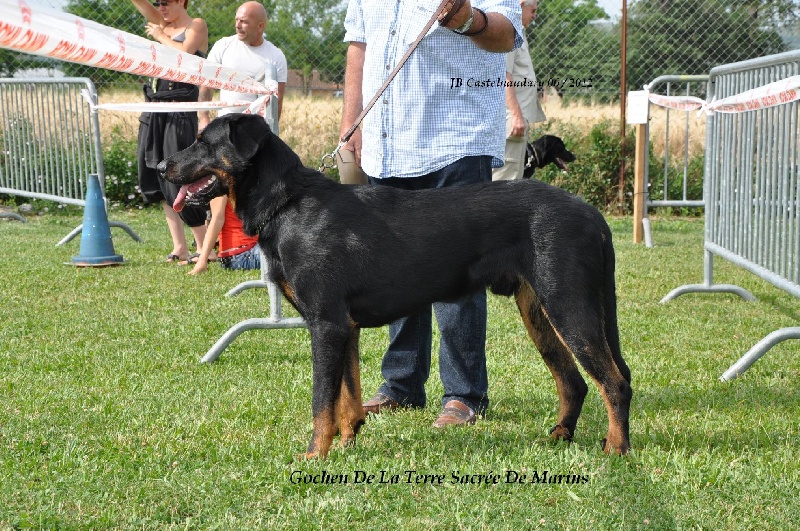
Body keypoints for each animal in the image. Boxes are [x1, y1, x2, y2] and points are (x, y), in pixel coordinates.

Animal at [158, 114, 632, 460]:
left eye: (203, 141)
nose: (161, 168)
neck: (288, 203)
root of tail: (593, 215)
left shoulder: (325, 324)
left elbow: (321, 402)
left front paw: (313, 456)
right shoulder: (344, 327)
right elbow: (347, 397)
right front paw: (347, 443)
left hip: (569, 304)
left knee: (614, 380)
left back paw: (617, 449)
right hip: (538, 309)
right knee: (574, 380)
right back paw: (560, 436)